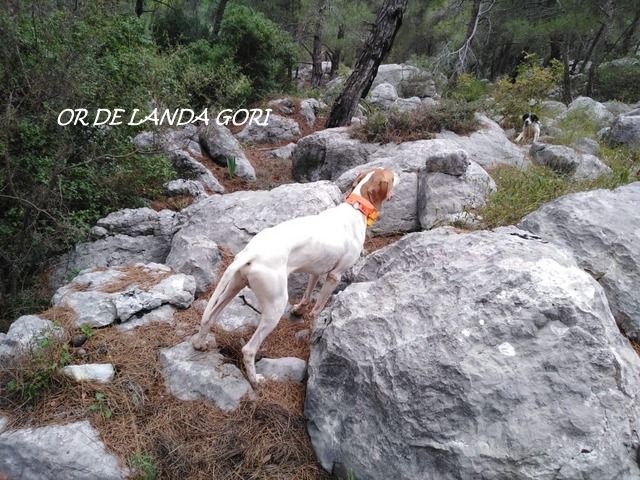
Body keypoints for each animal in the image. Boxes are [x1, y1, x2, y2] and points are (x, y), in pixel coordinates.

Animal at [192, 167, 398, 384]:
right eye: (392, 177)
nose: (398, 174)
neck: (356, 207)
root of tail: (251, 253)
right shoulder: (335, 275)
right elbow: (317, 309)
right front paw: (315, 329)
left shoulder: (316, 270)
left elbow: (307, 296)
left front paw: (299, 310)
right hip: (275, 306)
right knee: (248, 349)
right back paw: (255, 379)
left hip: (234, 285)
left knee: (209, 318)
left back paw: (200, 343)